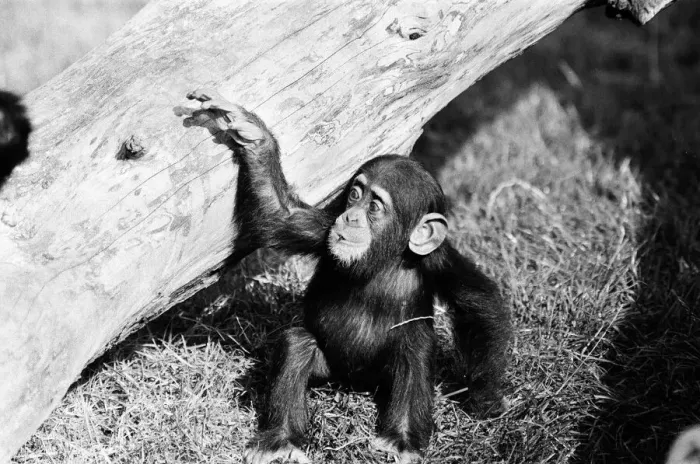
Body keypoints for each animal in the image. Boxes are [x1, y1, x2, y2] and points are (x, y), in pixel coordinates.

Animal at [184, 88, 512, 464]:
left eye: (375, 206)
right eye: (356, 193)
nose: (352, 216)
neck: (381, 259)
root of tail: (352, 383)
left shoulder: (440, 261)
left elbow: (480, 306)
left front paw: (486, 396)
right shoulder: (323, 229)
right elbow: (281, 215)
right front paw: (253, 135)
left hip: (378, 378)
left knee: (414, 345)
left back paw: (399, 441)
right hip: (329, 369)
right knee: (297, 343)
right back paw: (280, 440)